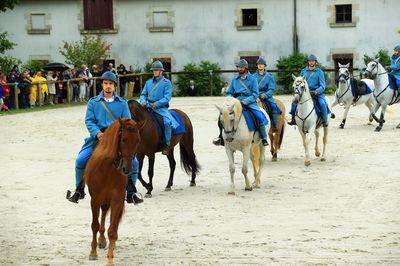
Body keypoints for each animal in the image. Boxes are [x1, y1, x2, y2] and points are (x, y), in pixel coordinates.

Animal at [85, 118, 145, 266]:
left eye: (138, 140)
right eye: (123, 139)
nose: (127, 169)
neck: (108, 168)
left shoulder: (117, 199)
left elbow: (112, 230)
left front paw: (110, 259)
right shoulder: (94, 200)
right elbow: (94, 225)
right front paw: (93, 253)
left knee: (109, 219)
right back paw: (101, 242)